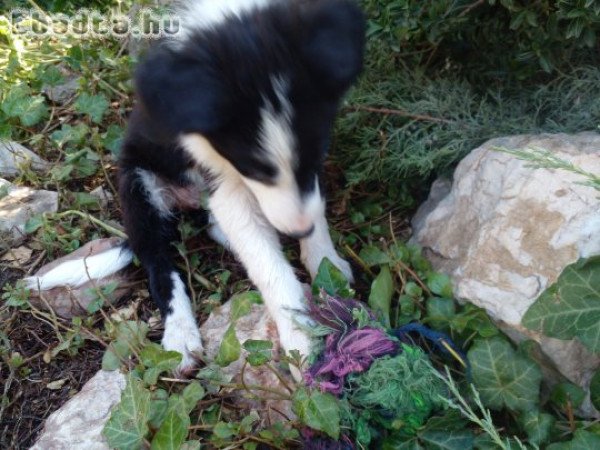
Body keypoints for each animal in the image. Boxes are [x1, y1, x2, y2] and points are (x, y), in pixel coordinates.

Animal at [24, 0, 366, 372]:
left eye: (317, 153)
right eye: (253, 168)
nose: (299, 231)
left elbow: (312, 208)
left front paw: (324, 261)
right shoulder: (224, 184)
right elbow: (269, 268)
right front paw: (301, 341)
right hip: (138, 183)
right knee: (158, 261)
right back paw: (181, 333)